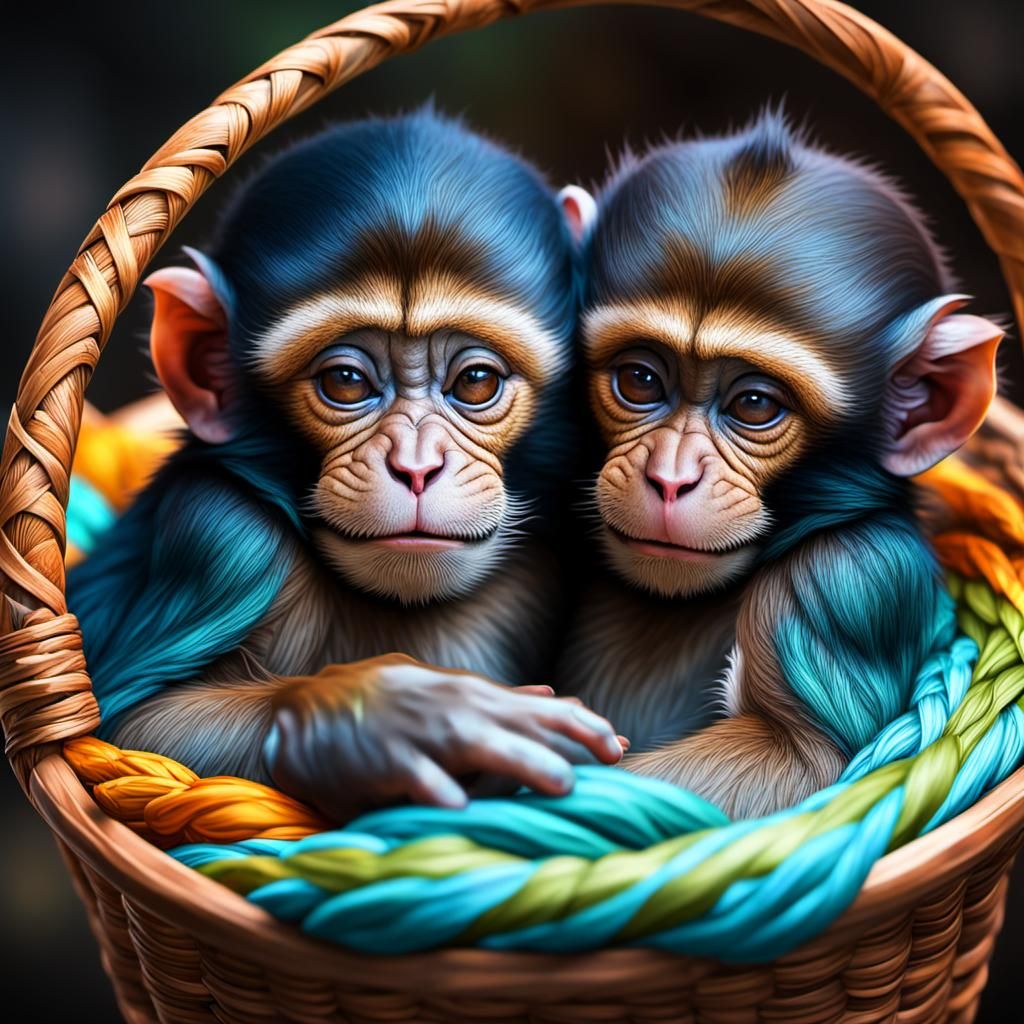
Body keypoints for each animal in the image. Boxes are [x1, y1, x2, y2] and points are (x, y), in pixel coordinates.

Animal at [67, 110, 625, 824]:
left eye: (475, 381)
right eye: (346, 381)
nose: (415, 466)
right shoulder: (220, 534)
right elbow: (139, 725)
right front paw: (381, 717)